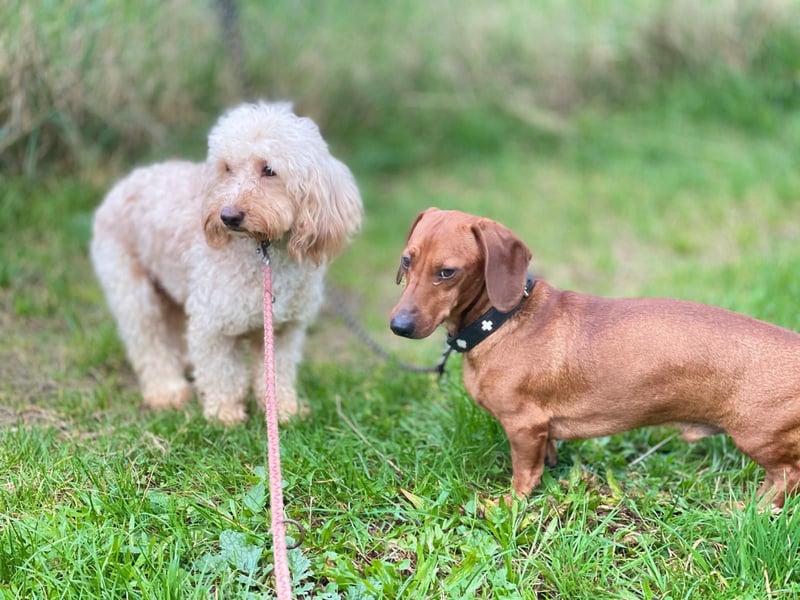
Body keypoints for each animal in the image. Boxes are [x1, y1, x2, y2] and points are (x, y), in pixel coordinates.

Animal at [91, 101, 362, 424]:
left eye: (269, 170)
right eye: (227, 168)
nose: (228, 216)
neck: (263, 253)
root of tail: (122, 184)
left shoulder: (283, 329)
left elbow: (277, 373)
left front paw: (283, 410)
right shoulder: (213, 324)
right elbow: (221, 372)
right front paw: (225, 415)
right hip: (133, 291)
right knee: (149, 342)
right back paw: (167, 392)